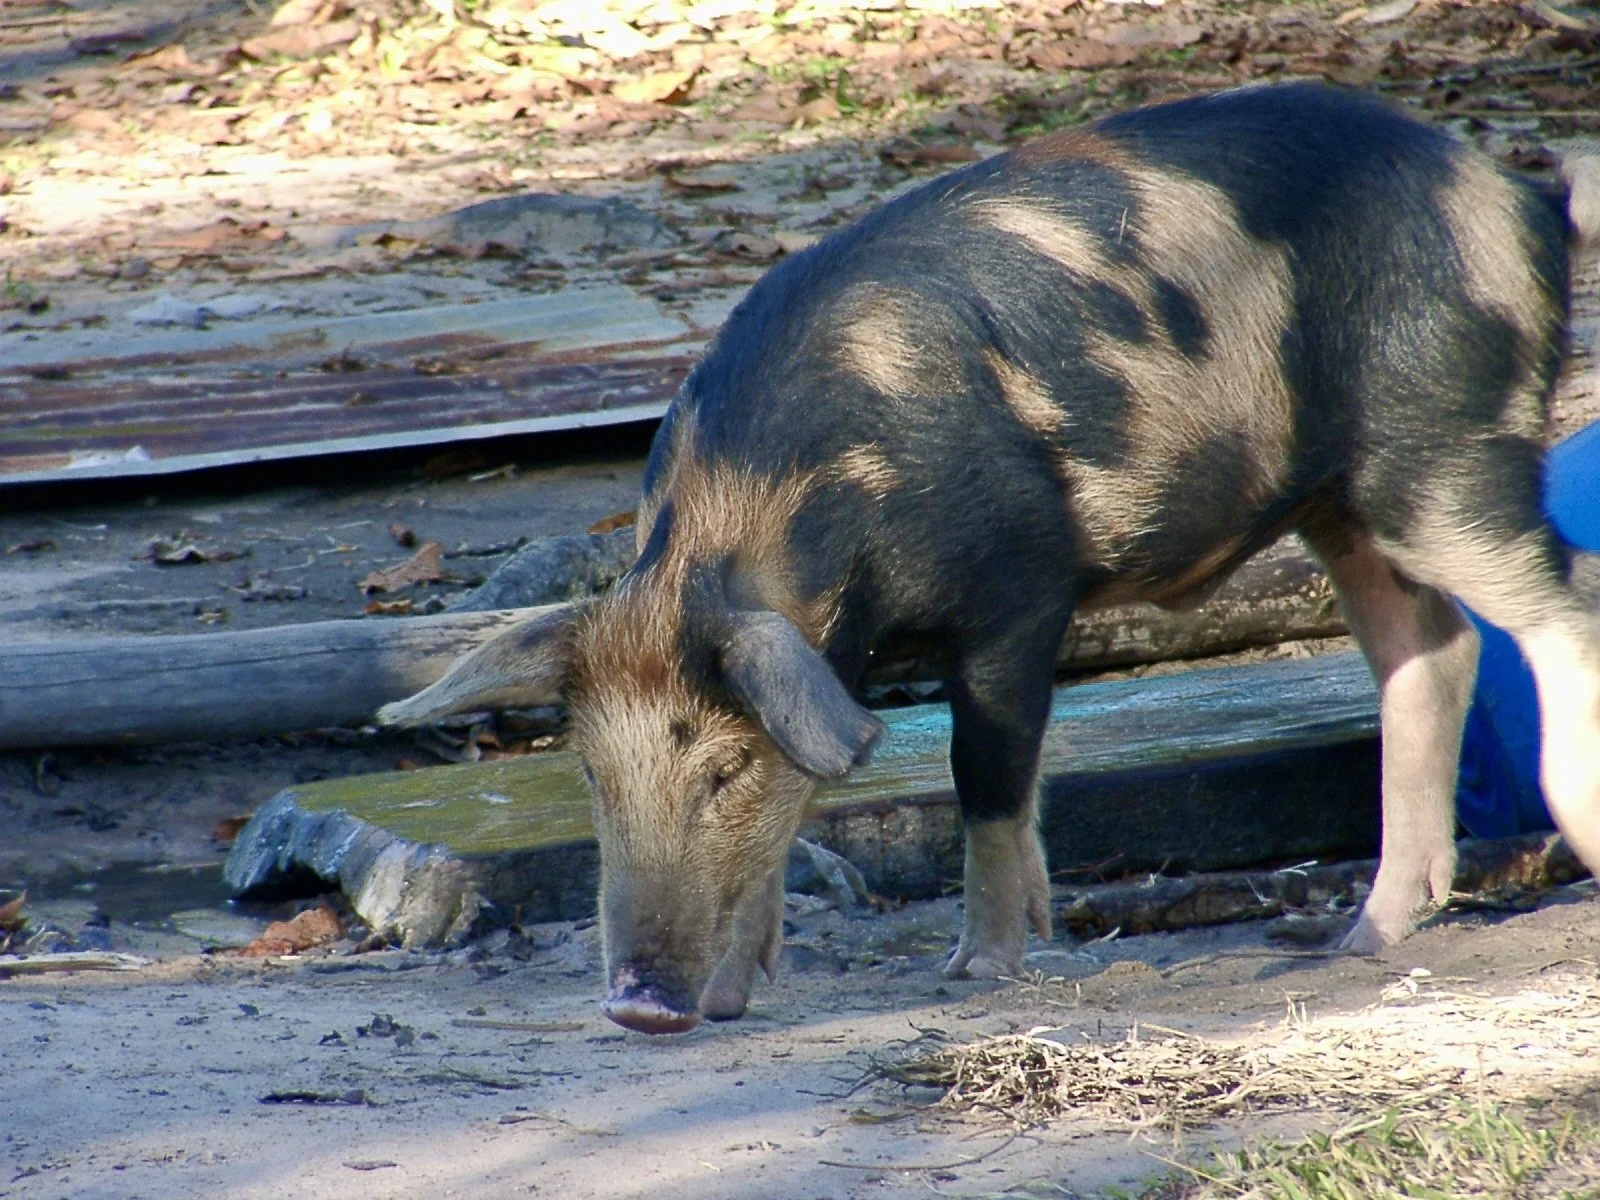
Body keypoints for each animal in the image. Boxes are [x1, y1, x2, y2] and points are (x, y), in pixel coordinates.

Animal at [380, 83, 1600, 1034]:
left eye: (719, 771)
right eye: (591, 773)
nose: (637, 1004)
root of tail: (1513, 194)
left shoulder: (1017, 596)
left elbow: (988, 778)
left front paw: (978, 971)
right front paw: (739, 998)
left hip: (1443, 444)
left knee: (1558, 604)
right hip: (1343, 500)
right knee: (1431, 652)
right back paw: (1364, 937)